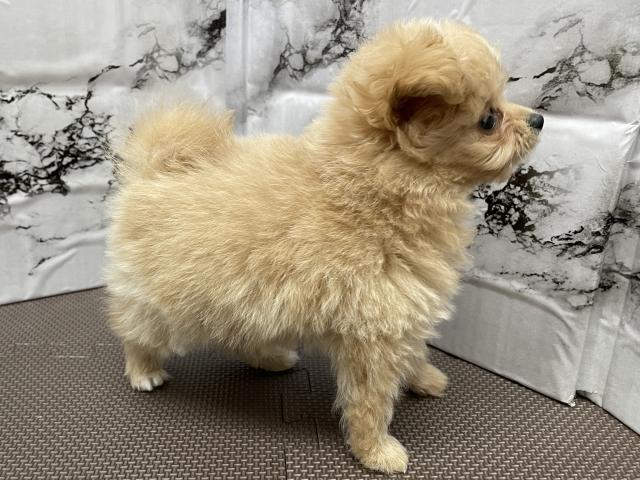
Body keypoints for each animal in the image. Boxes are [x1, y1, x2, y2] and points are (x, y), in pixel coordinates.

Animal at [106, 19, 542, 474]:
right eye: (488, 119)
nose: (540, 119)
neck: (371, 192)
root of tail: (155, 168)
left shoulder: (403, 311)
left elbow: (413, 352)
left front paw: (421, 378)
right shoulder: (374, 331)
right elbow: (370, 401)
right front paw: (376, 450)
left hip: (238, 293)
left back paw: (271, 358)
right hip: (160, 296)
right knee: (135, 330)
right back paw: (143, 370)